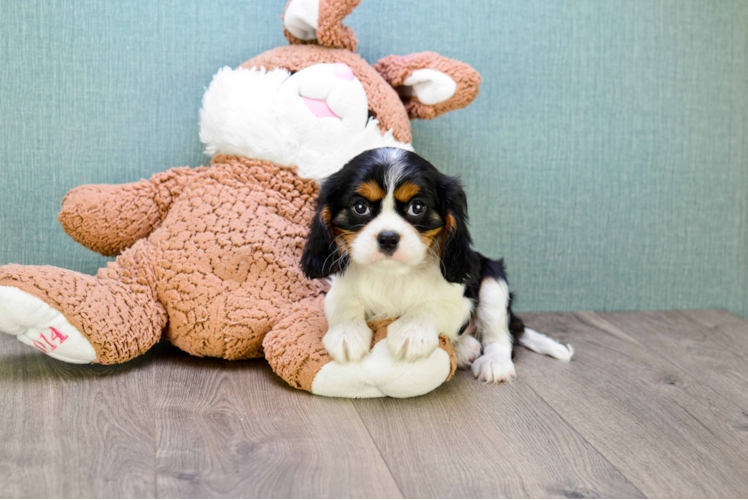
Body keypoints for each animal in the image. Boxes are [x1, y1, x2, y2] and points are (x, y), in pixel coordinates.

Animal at [300, 148, 568, 382]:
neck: (392, 273)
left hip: (493, 280)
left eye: (417, 207)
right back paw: (465, 348)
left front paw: (411, 332)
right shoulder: (339, 291)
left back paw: (494, 362)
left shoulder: (460, 299)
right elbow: (345, 305)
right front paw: (347, 334)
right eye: (360, 207)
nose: (388, 238)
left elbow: (430, 307)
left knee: (500, 335)